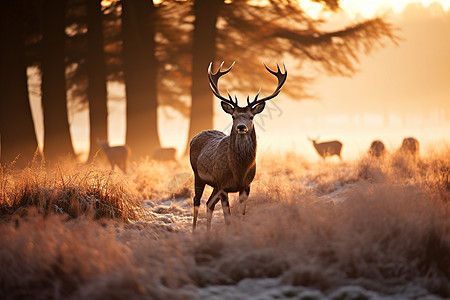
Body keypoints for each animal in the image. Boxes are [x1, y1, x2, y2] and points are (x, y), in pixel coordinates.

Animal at [188, 60, 286, 230]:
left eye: (251, 116)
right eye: (233, 117)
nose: (241, 127)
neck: (239, 171)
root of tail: (195, 137)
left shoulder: (246, 186)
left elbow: (242, 215)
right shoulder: (222, 185)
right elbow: (228, 218)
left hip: (214, 184)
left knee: (209, 204)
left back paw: (208, 232)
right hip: (197, 174)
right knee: (197, 201)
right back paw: (194, 231)